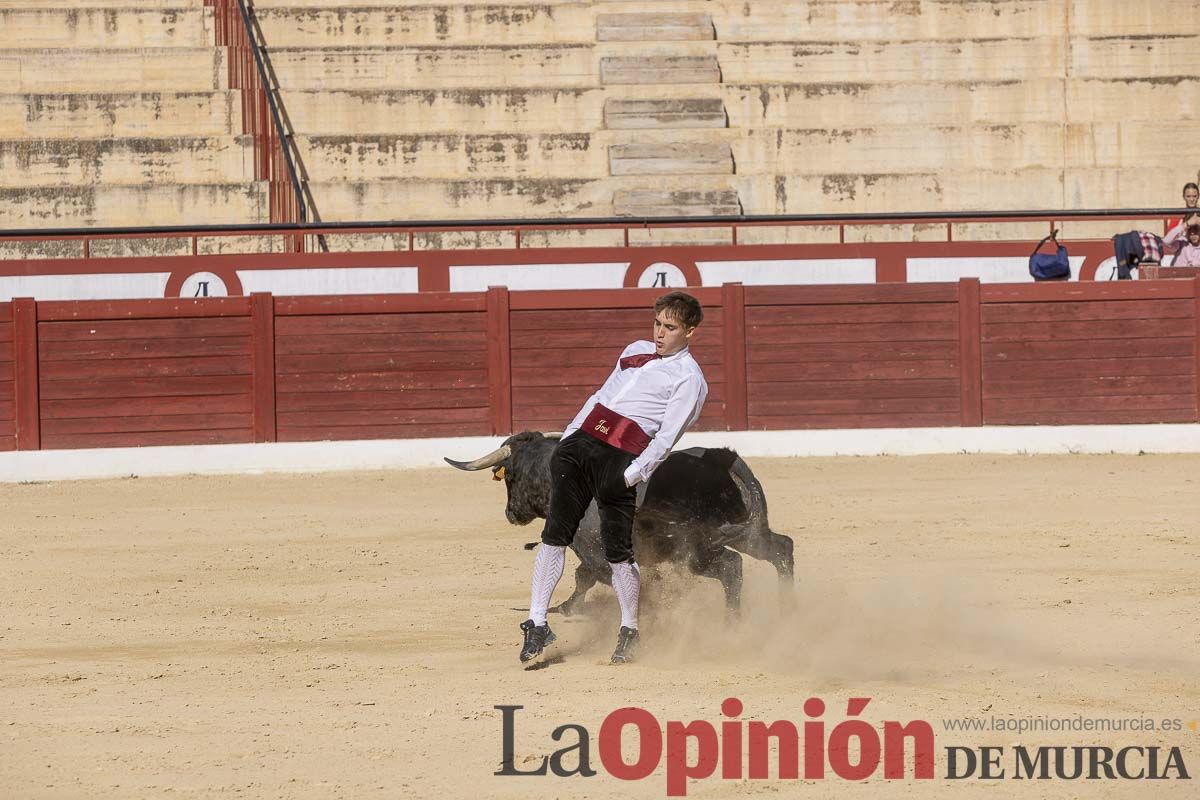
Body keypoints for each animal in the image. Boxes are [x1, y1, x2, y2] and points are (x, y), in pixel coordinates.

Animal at [446, 431, 792, 614]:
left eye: (509, 477)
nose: (511, 513)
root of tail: (724, 461)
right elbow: (583, 579)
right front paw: (568, 607)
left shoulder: (595, 552)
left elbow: (591, 577)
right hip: (749, 534)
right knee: (781, 549)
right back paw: (787, 607)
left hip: (697, 551)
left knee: (732, 567)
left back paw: (732, 621)